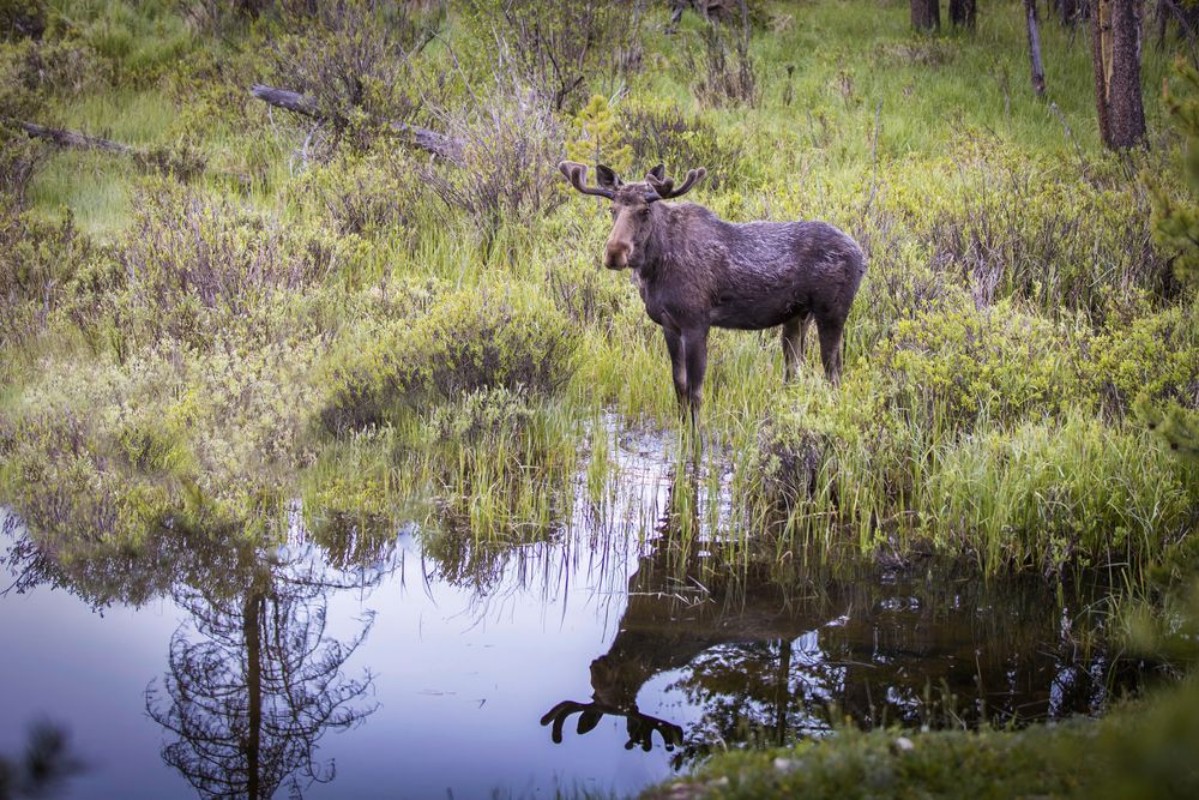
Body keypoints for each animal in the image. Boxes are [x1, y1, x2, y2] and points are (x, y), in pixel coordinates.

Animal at [559, 161, 867, 426]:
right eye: (612, 209)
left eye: (645, 211)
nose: (614, 253)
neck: (654, 268)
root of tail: (863, 257)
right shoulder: (669, 324)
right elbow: (679, 386)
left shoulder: (696, 322)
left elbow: (696, 392)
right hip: (796, 317)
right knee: (795, 372)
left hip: (832, 312)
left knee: (833, 373)